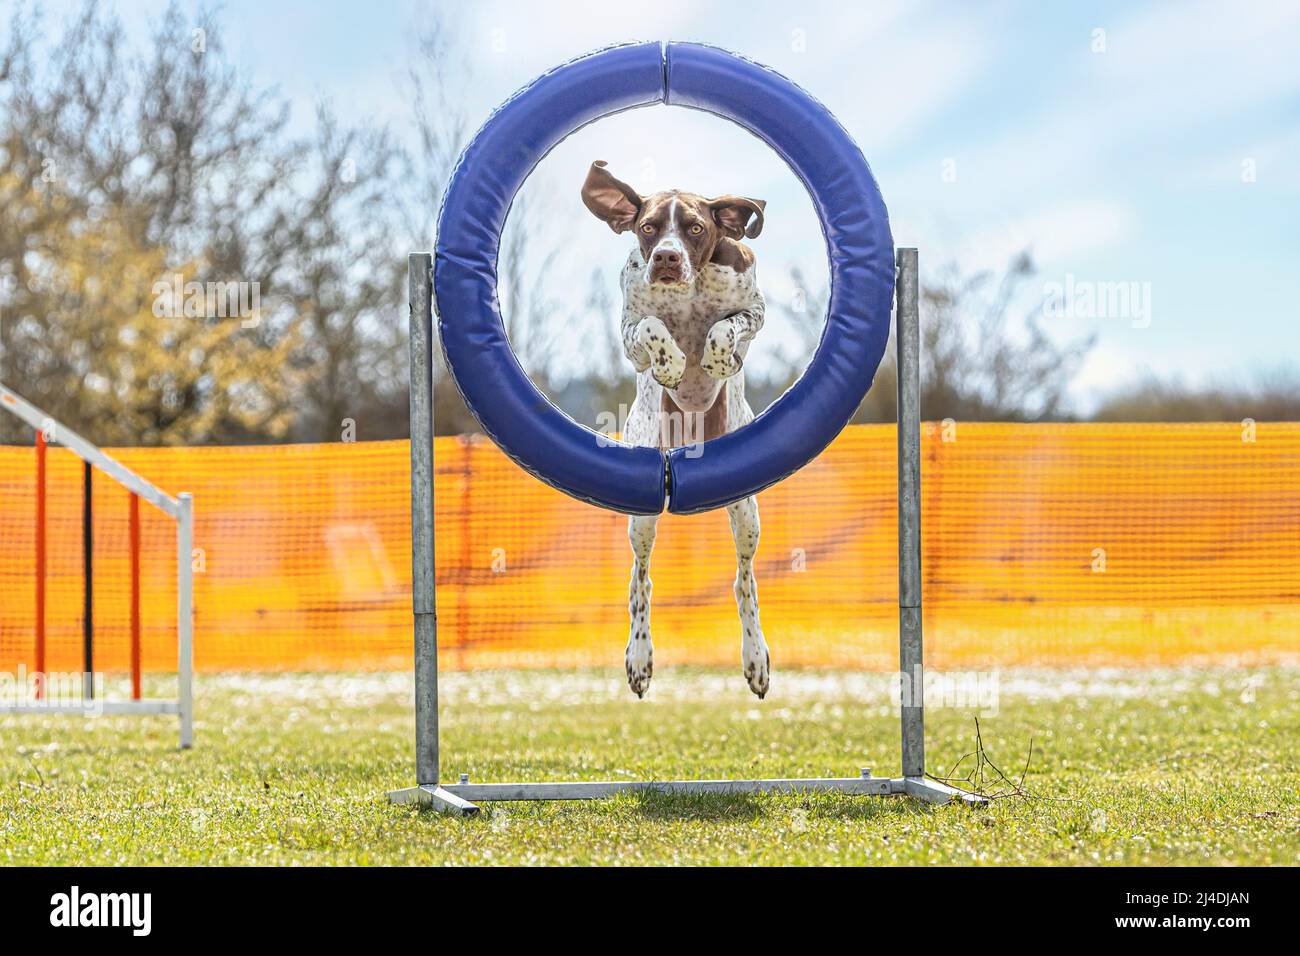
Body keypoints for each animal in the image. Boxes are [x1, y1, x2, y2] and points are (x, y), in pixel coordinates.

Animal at [582, 160, 769, 697]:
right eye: (648, 228)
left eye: (696, 228)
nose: (666, 257)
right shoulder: (631, 331)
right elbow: (652, 329)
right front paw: (670, 366)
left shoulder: (753, 309)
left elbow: (725, 327)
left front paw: (716, 358)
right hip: (643, 514)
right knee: (641, 582)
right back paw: (639, 658)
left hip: (746, 512)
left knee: (744, 580)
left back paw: (756, 658)